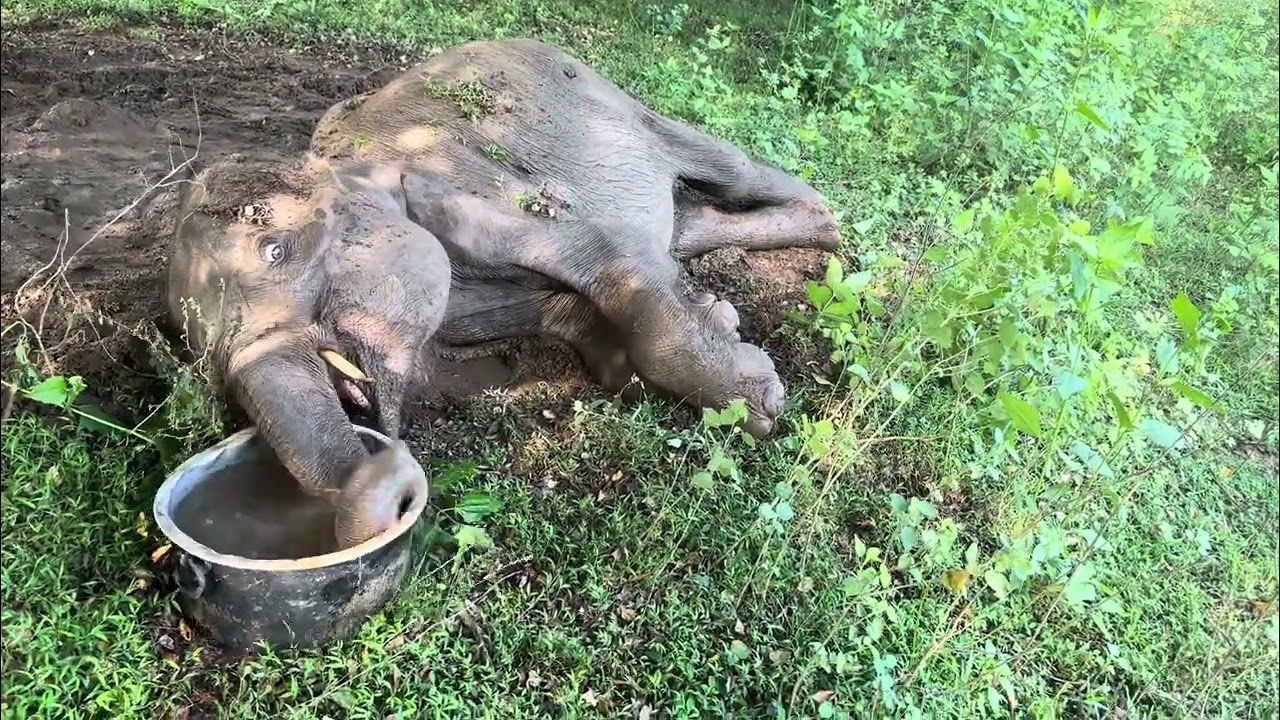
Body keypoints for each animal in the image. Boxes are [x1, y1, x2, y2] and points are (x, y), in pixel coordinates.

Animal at [166, 38, 841, 551]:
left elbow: (604, 256)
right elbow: (582, 324)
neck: (345, 165)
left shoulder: (476, 192)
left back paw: (824, 233)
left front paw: (763, 403)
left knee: (724, 167)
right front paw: (696, 331)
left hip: (622, 106)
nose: (388, 472)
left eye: (275, 249)